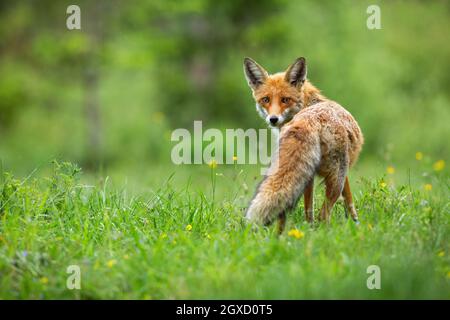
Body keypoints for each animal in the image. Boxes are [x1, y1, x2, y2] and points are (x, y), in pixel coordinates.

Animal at [243, 57, 362, 231]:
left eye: (285, 100)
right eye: (266, 100)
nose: (273, 119)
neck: (308, 105)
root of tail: (308, 121)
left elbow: (340, 202)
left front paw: (355, 223)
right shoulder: (343, 171)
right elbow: (349, 200)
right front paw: (356, 224)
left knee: (287, 212)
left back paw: (282, 236)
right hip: (335, 177)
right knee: (323, 215)